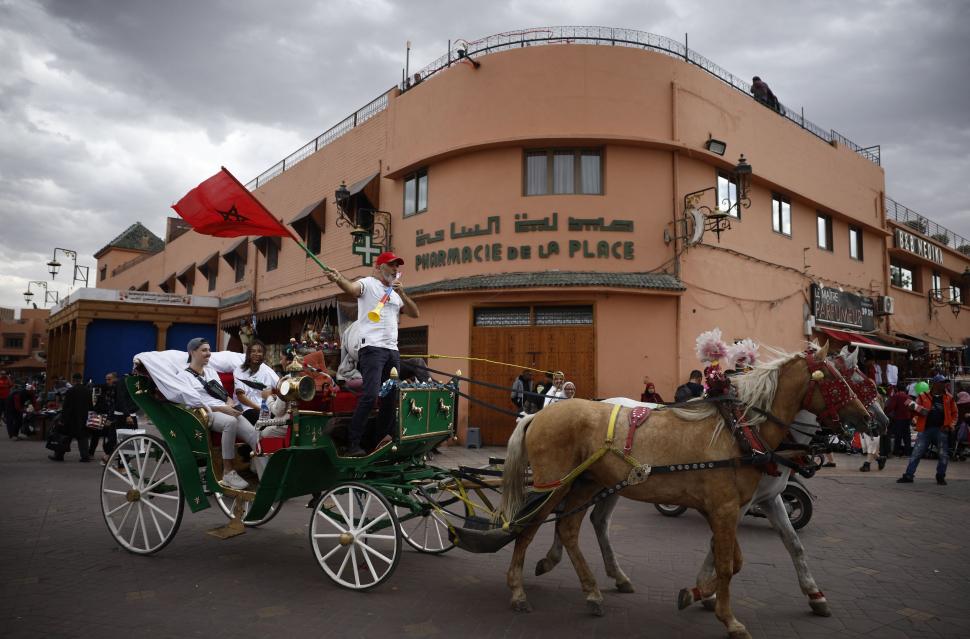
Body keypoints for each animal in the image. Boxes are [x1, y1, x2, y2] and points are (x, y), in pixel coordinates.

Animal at [496, 344, 864, 639]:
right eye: (836, 380)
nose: (868, 419)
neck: (739, 431)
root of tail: (537, 415)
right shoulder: (726, 508)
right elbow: (727, 564)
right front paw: (728, 619)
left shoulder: (730, 507)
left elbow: (737, 560)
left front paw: (696, 593)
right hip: (553, 485)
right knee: (527, 528)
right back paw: (517, 592)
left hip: (586, 485)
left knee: (569, 529)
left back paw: (592, 592)